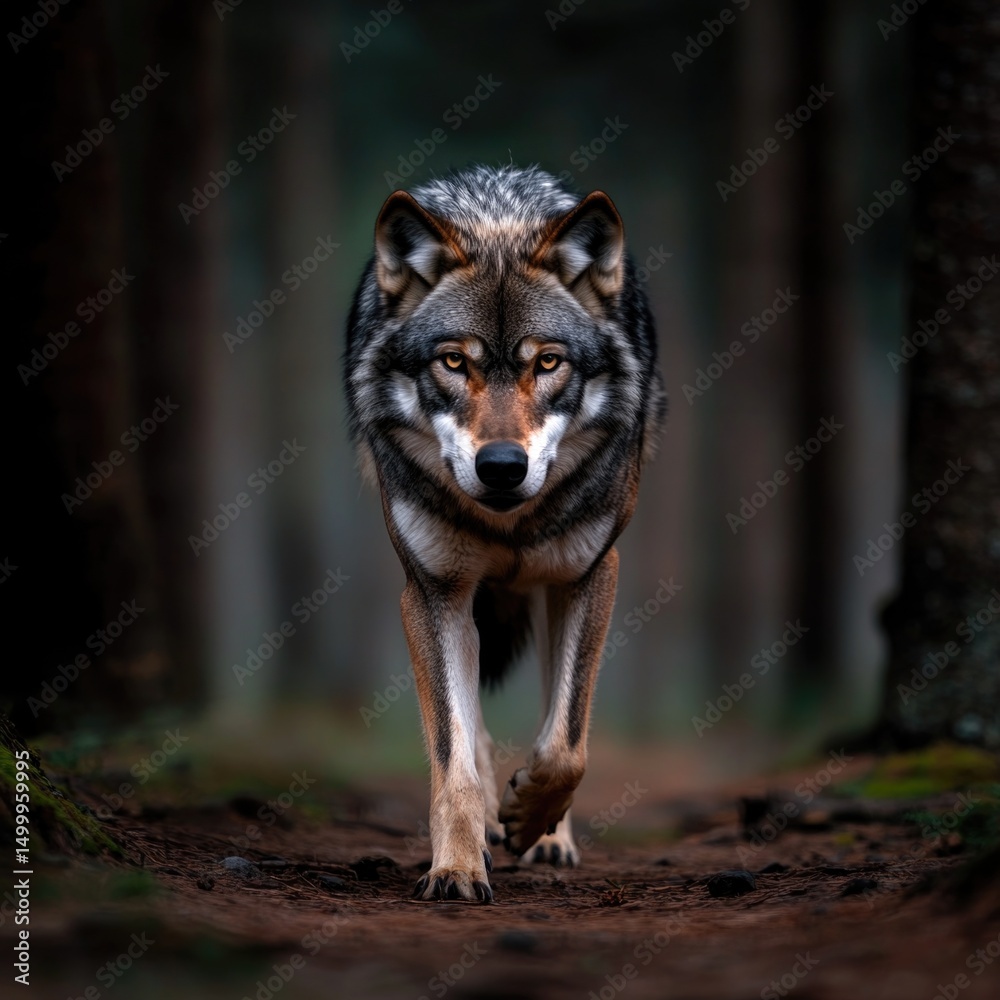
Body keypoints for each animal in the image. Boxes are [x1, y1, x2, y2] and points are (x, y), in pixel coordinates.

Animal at [344, 164, 666, 902]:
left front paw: (531, 819)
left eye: (547, 363)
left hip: (552, 598)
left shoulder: (590, 576)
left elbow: (567, 739)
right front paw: (459, 865)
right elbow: (454, 753)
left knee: (554, 709)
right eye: (453, 363)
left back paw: (546, 837)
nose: (500, 466)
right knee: (479, 734)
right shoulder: (434, 592)